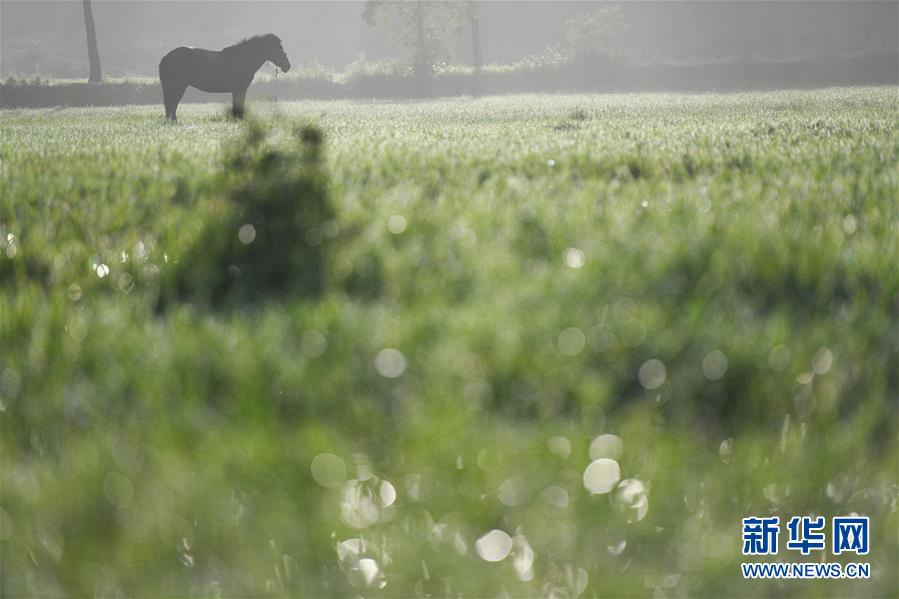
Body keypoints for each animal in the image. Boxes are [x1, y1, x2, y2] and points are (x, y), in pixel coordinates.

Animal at [158, 33, 292, 122]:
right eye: (278, 48)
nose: (287, 65)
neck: (244, 58)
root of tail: (167, 57)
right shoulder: (240, 89)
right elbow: (239, 105)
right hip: (179, 85)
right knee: (172, 103)